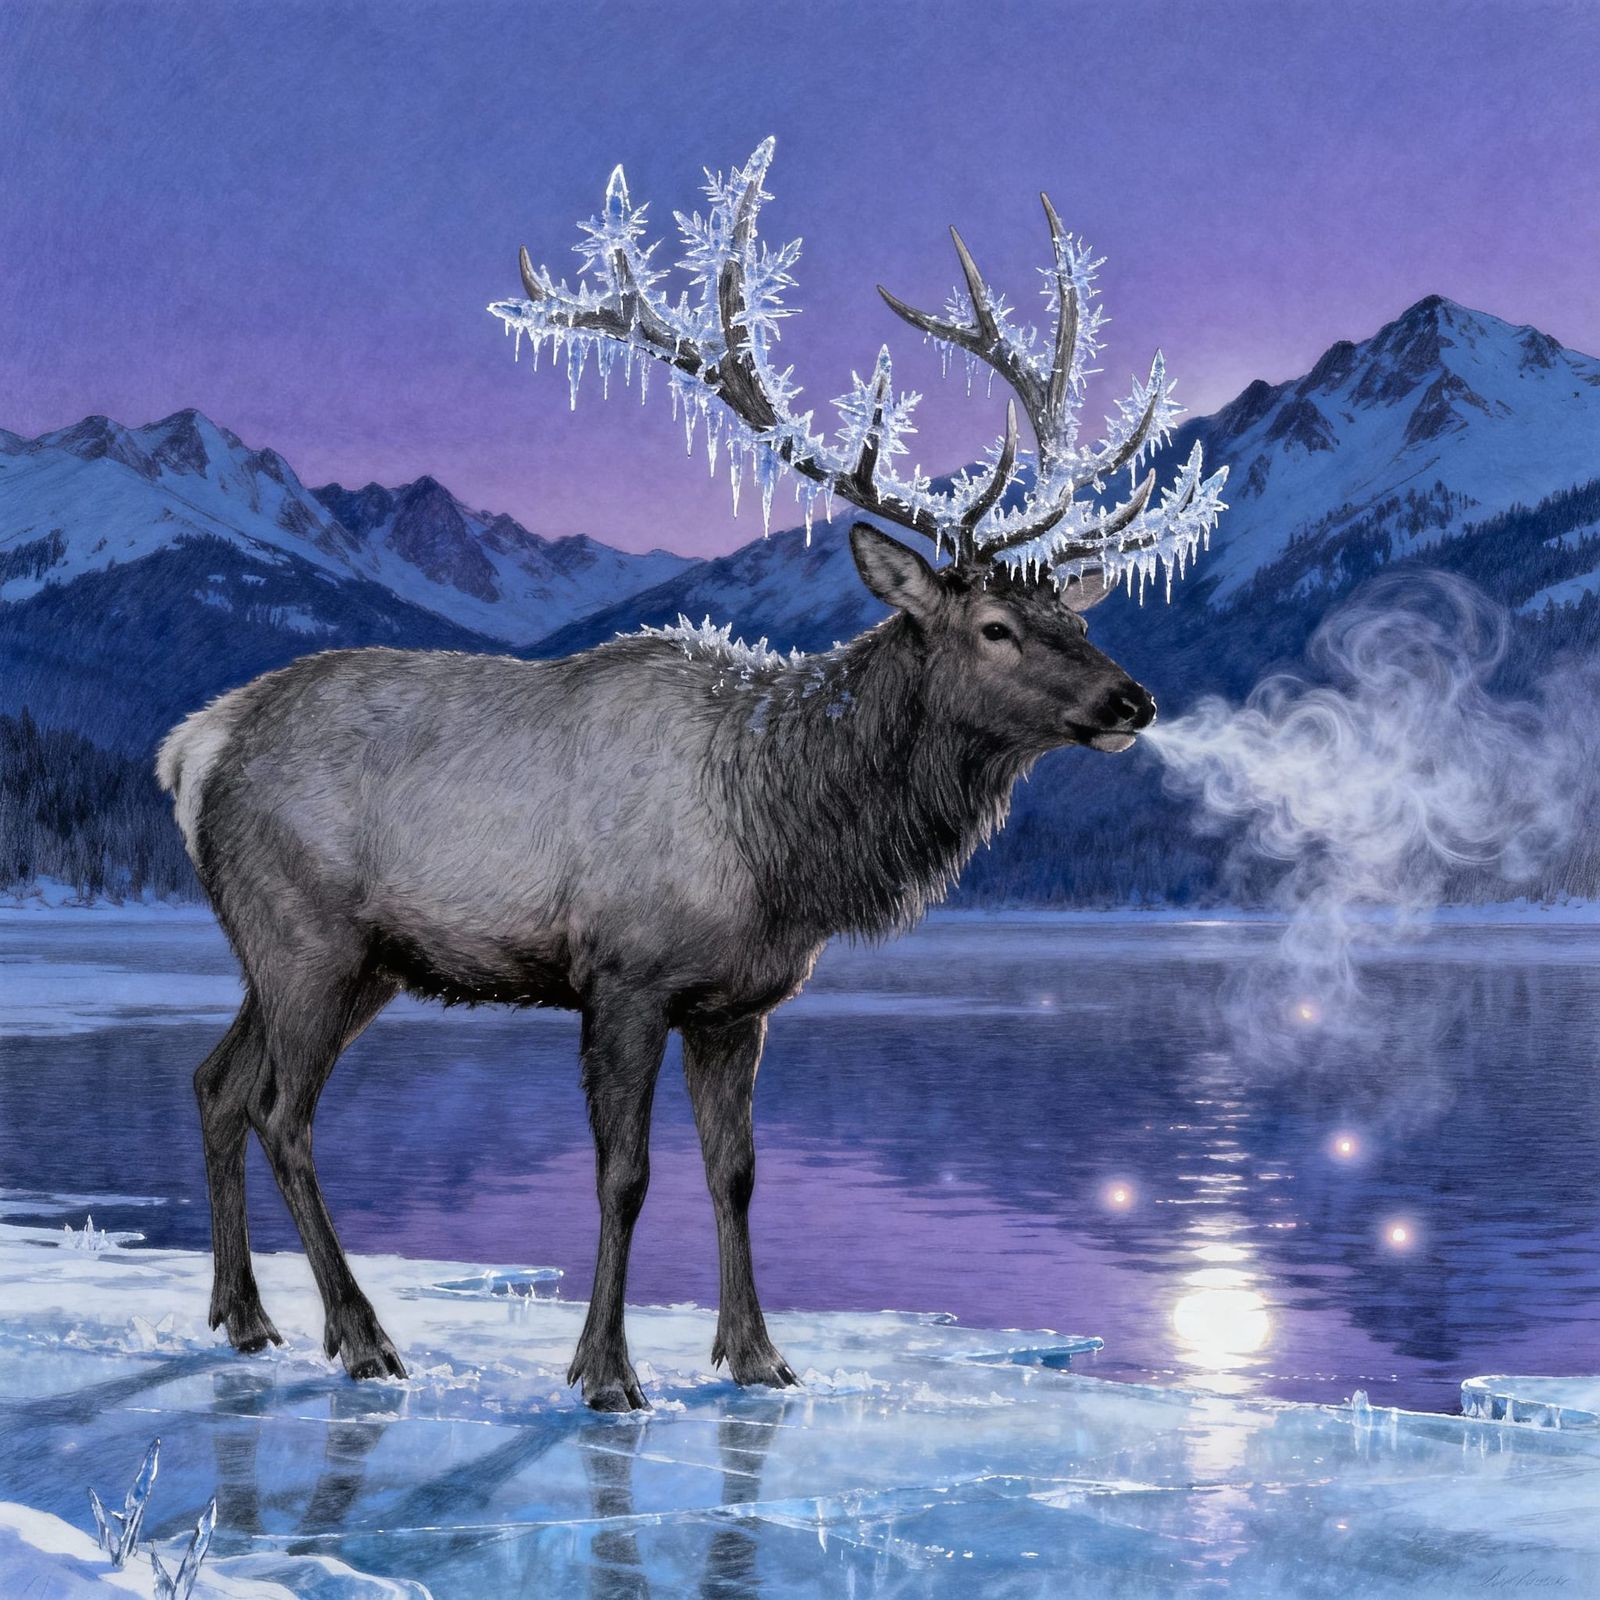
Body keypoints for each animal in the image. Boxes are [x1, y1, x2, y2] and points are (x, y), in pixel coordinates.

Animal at [157, 140, 1224, 1409]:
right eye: (995, 628)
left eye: (1075, 614)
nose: (1132, 701)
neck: (784, 839)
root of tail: (193, 745)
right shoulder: (622, 973)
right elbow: (625, 1174)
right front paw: (605, 1370)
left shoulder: (737, 1002)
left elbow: (737, 1171)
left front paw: (758, 1354)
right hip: (307, 933)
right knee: (281, 1111)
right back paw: (361, 1336)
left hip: (333, 954)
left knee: (216, 1082)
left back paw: (243, 1314)